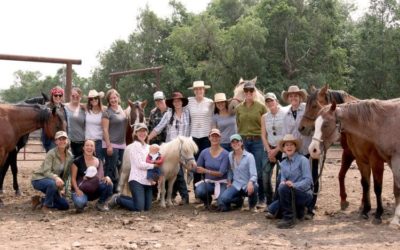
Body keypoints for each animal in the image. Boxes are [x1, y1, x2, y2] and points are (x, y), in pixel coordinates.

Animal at [298, 85, 386, 223]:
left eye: (314, 106)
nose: (301, 128)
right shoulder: (350, 153)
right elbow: (342, 175)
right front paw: (344, 200)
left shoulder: (363, 156)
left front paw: (363, 205)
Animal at [310, 99, 400, 227]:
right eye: (315, 124)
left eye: (326, 124)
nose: (313, 149)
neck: (384, 122)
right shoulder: (364, 160)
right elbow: (366, 184)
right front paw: (365, 211)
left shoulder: (383, 161)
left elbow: (383, 188)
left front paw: (385, 216)